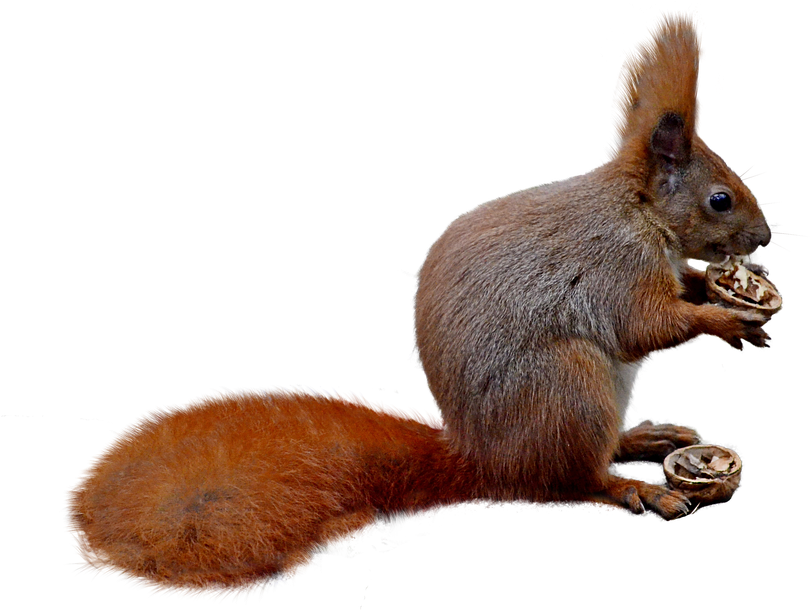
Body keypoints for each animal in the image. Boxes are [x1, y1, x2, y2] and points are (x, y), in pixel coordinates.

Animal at [64, 10, 775, 601]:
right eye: (720, 200)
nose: (765, 237)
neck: (639, 211)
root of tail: (481, 462)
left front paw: (723, 290)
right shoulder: (614, 267)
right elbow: (643, 325)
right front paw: (725, 318)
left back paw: (644, 436)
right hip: (569, 387)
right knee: (568, 484)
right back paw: (630, 486)